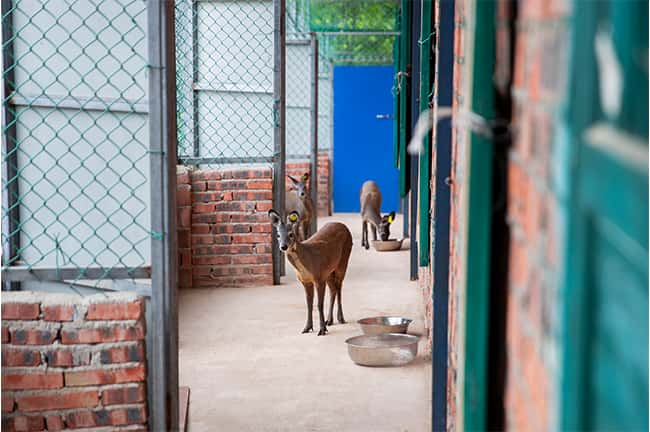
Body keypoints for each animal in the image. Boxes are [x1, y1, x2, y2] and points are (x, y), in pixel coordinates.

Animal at [268, 208, 352, 336]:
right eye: (278, 235)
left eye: (291, 234)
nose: (283, 246)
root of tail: (342, 225)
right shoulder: (307, 281)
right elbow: (309, 304)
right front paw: (307, 328)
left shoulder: (318, 277)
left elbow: (319, 304)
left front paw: (322, 330)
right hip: (329, 270)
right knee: (333, 289)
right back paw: (330, 320)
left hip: (343, 261)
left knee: (339, 288)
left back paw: (341, 318)